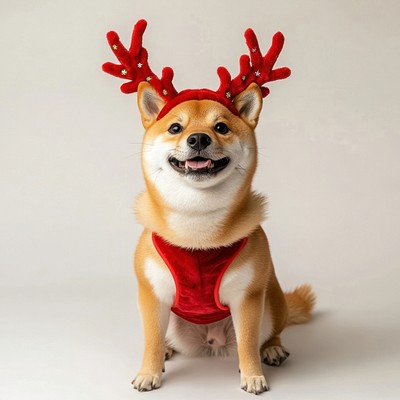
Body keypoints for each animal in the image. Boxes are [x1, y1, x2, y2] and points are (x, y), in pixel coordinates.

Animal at [103, 20, 316, 396]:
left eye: (221, 127)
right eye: (175, 127)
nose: (199, 138)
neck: (197, 227)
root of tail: (212, 342)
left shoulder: (248, 299)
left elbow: (248, 344)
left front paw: (253, 375)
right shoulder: (152, 295)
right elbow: (150, 340)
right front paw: (149, 371)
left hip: (272, 300)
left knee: (268, 332)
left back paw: (273, 348)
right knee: (165, 337)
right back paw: (168, 349)